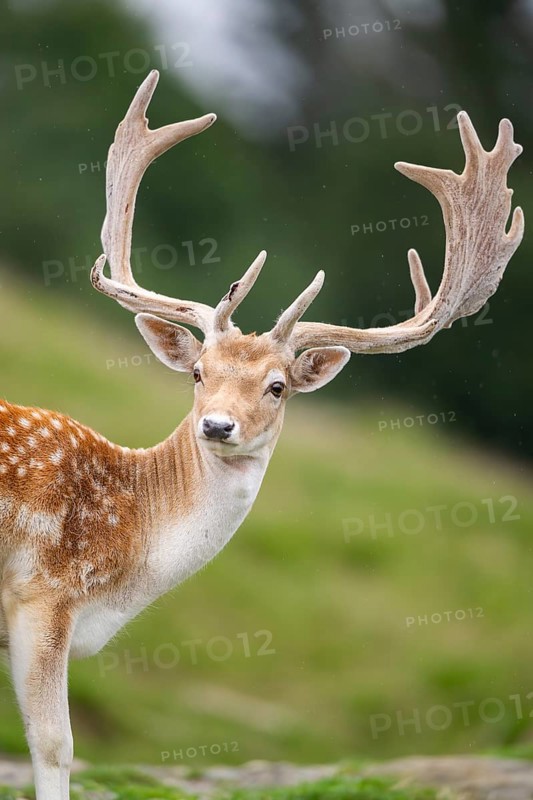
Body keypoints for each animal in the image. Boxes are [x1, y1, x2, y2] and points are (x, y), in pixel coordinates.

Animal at [0, 69, 524, 800]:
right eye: (198, 371)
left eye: (276, 386)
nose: (217, 424)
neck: (124, 566)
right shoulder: (42, 592)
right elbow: (56, 746)